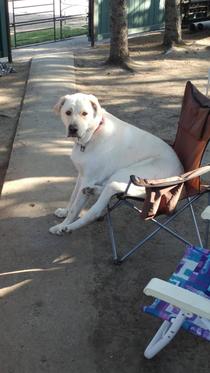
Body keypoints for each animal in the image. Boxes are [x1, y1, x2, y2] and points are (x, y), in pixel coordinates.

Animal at [49, 91, 182, 234]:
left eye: (85, 113)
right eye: (68, 112)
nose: (73, 129)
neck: (94, 133)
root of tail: (181, 172)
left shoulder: (88, 178)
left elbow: (75, 209)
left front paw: (63, 224)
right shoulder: (82, 175)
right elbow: (73, 197)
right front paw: (64, 211)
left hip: (123, 173)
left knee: (98, 209)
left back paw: (68, 227)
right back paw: (92, 190)